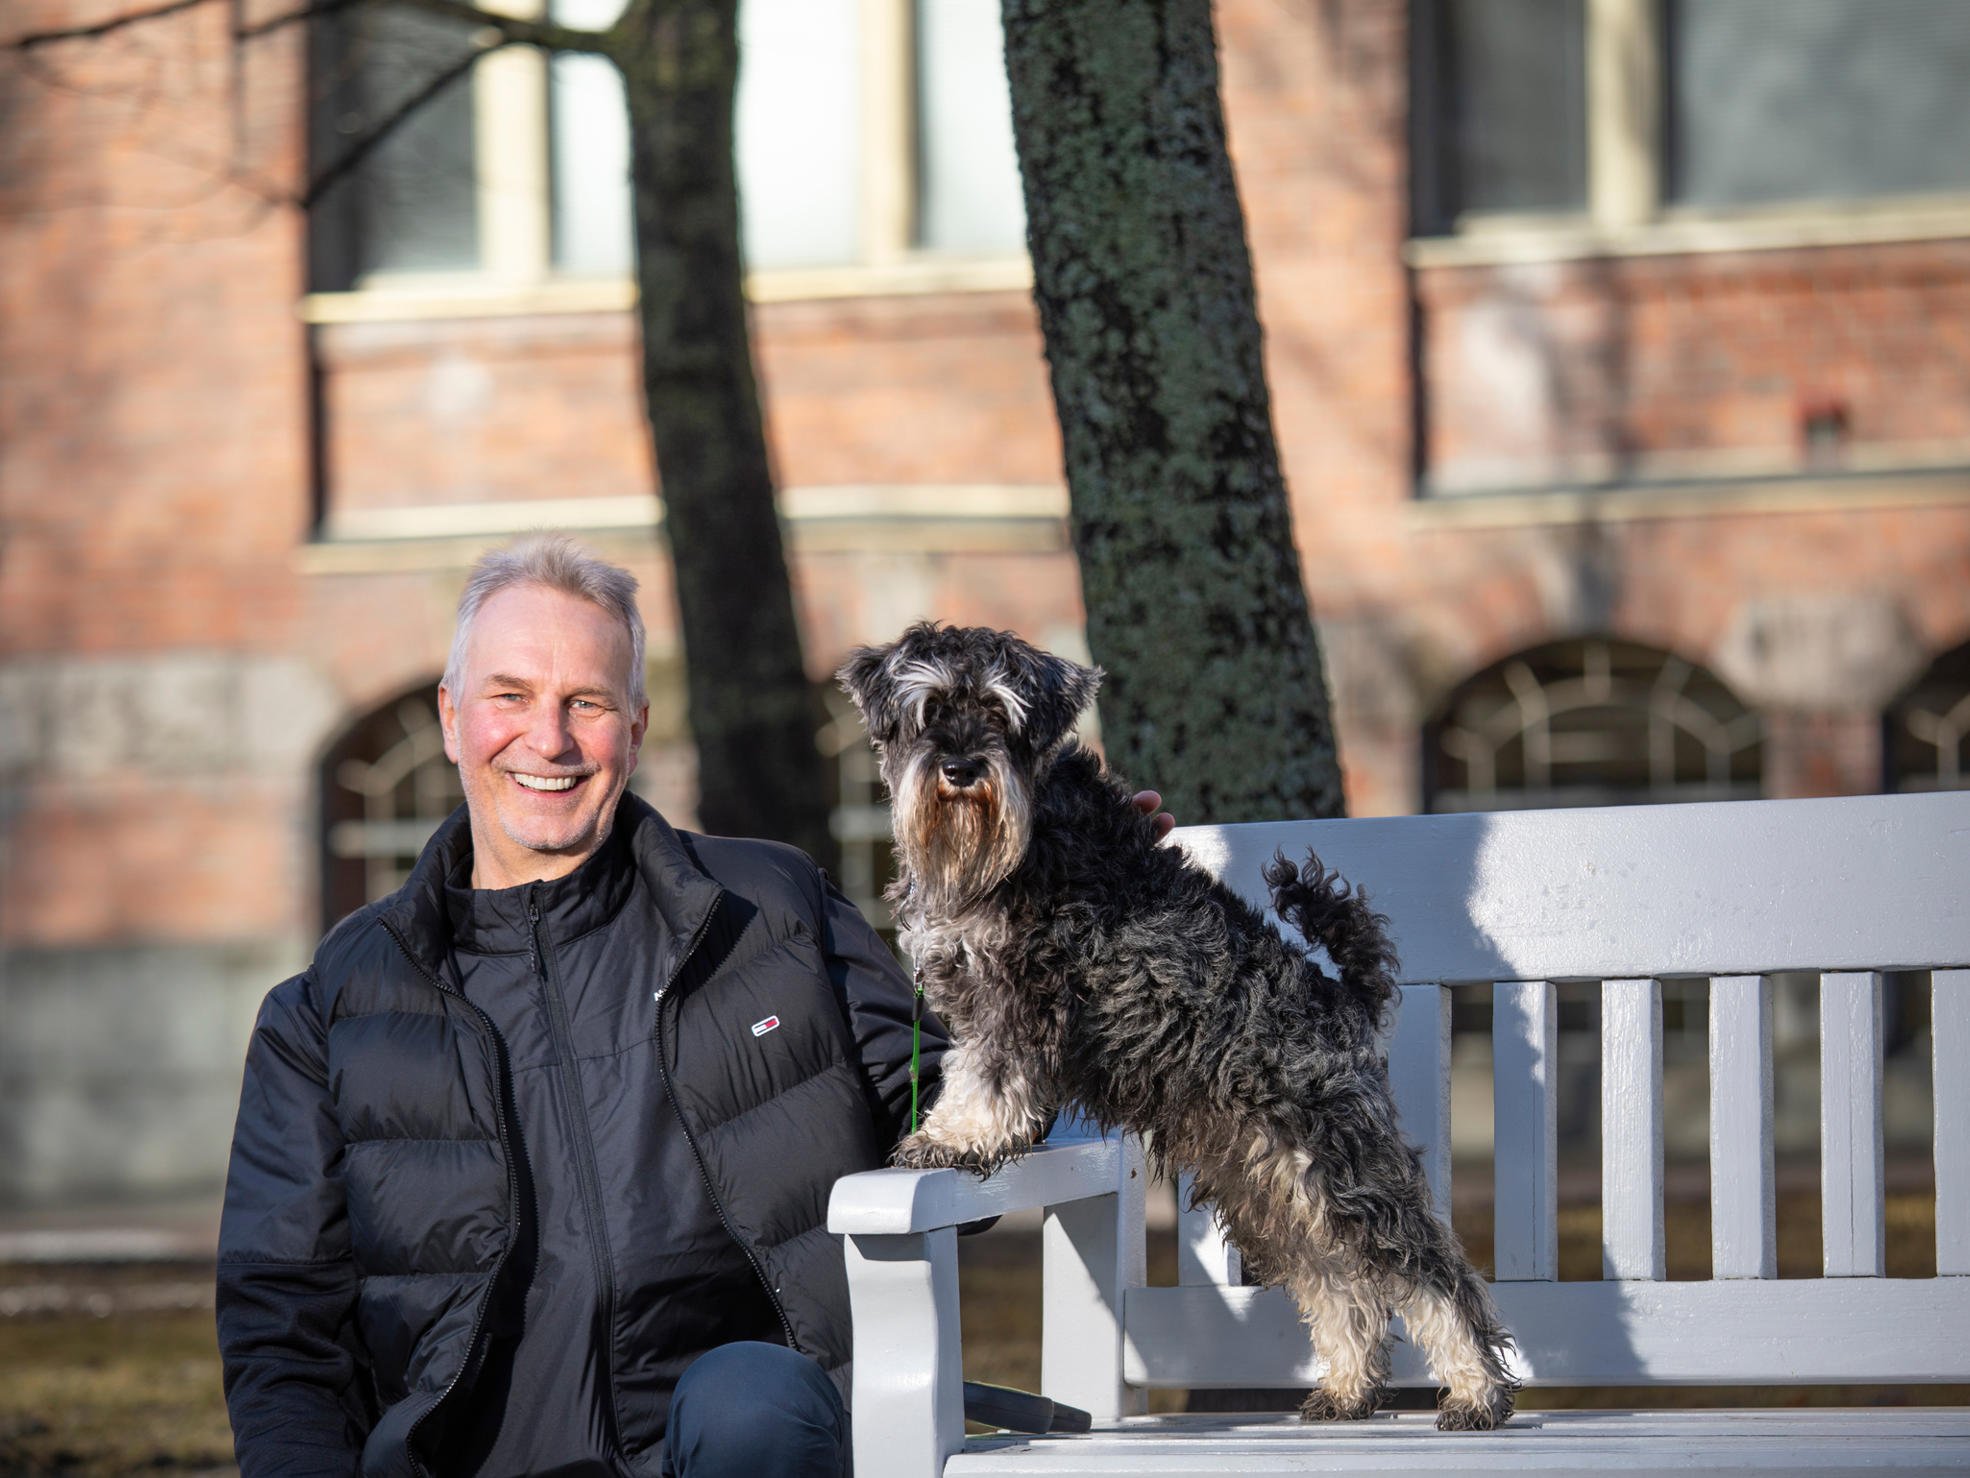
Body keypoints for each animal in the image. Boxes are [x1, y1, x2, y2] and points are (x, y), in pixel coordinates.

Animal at [839, 622, 1512, 1434]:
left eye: (1000, 712)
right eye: (930, 709)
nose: (962, 767)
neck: (1020, 836)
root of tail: (1342, 999)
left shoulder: (1018, 1000)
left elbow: (988, 1077)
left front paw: (956, 1138)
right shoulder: (977, 1001)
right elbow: (971, 1070)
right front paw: (952, 1131)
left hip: (1343, 1162)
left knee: (1427, 1268)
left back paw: (1475, 1392)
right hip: (1273, 1185)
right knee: (1336, 1280)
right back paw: (1349, 1388)